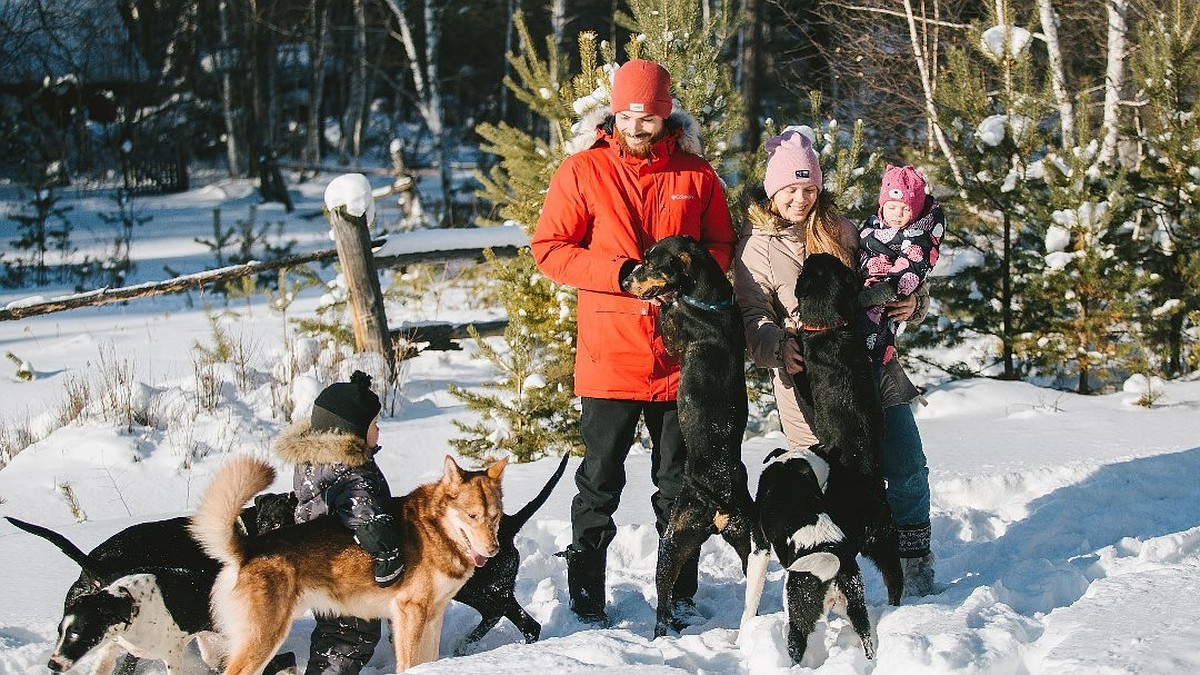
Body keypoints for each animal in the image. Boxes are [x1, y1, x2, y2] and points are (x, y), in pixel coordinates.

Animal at [624, 234, 763, 634]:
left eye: (651, 263)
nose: (625, 280)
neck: (711, 299)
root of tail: (720, 504)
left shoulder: (673, 333)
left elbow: (666, 316)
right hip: (745, 540)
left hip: (672, 540)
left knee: (663, 599)